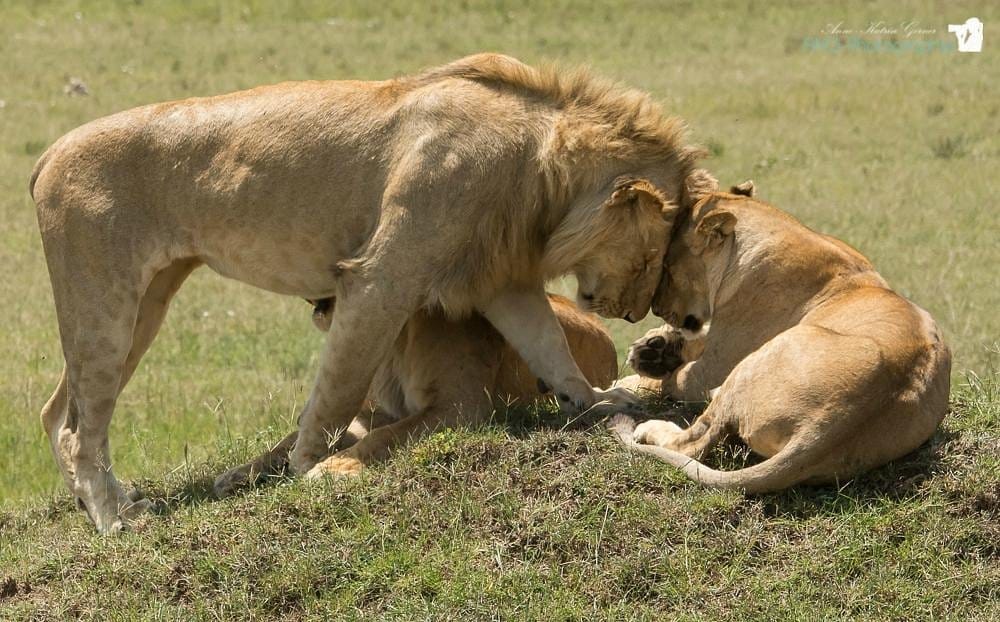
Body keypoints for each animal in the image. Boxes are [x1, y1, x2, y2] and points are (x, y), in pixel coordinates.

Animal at [214, 294, 618, 496]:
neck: (395, 336)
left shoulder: (460, 406)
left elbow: (386, 436)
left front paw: (332, 468)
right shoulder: (373, 409)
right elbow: (290, 439)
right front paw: (238, 474)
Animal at [610, 188, 951, 492]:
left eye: (668, 267)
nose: (657, 308)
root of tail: (828, 427)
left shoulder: (711, 367)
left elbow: (666, 381)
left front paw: (640, 372)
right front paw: (654, 348)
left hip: (753, 362)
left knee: (695, 438)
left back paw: (651, 427)